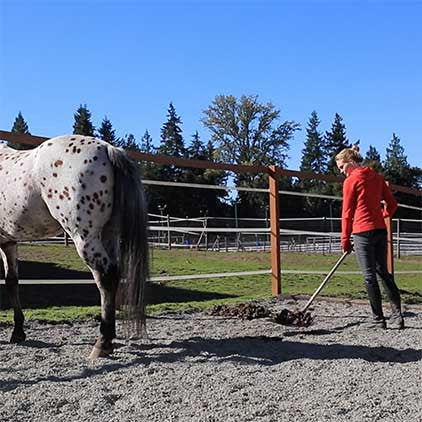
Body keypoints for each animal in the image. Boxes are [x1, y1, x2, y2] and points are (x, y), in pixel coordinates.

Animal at [0, 134, 150, 356]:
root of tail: (108, 148)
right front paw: (18, 332)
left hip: (85, 238)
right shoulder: (9, 242)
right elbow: (12, 282)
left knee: (106, 276)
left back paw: (102, 343)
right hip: (109, 235)